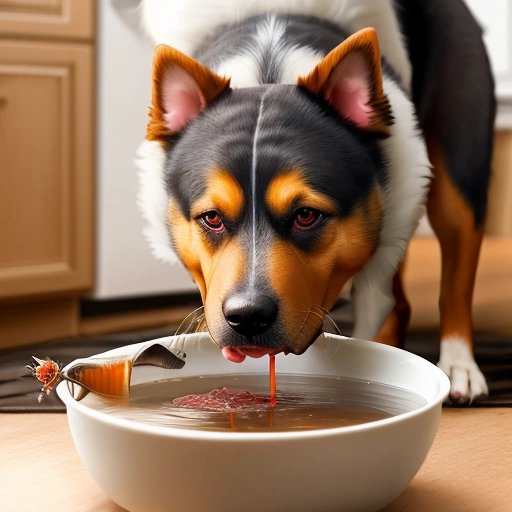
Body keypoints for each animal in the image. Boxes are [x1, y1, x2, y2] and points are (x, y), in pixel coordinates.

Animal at [134, 0, 494, 402]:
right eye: (212, 218)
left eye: (306, 215)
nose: (247, 316)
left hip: (457, 172)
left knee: (456, 266)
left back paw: (459, 366)